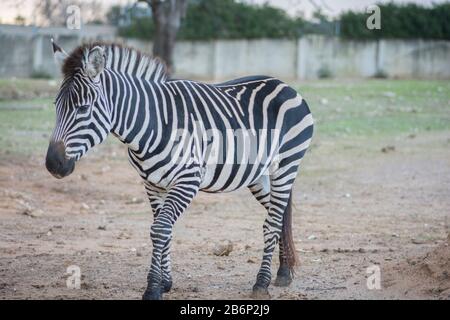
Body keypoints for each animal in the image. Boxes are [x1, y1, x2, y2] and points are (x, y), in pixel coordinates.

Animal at [44, 40, 312, 300]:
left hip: (286, 164)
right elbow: (164, 229)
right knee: (279, 215)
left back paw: (262, 282)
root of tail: (282, 83)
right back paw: (283, 272)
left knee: (273, 221)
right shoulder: (152, 183)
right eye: (56, 106)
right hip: (258, 175)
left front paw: (152, 288)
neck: (152, 124)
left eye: (83, 108)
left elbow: (160, 229)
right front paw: (165, 283)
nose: (53, 164)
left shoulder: (187, 180)